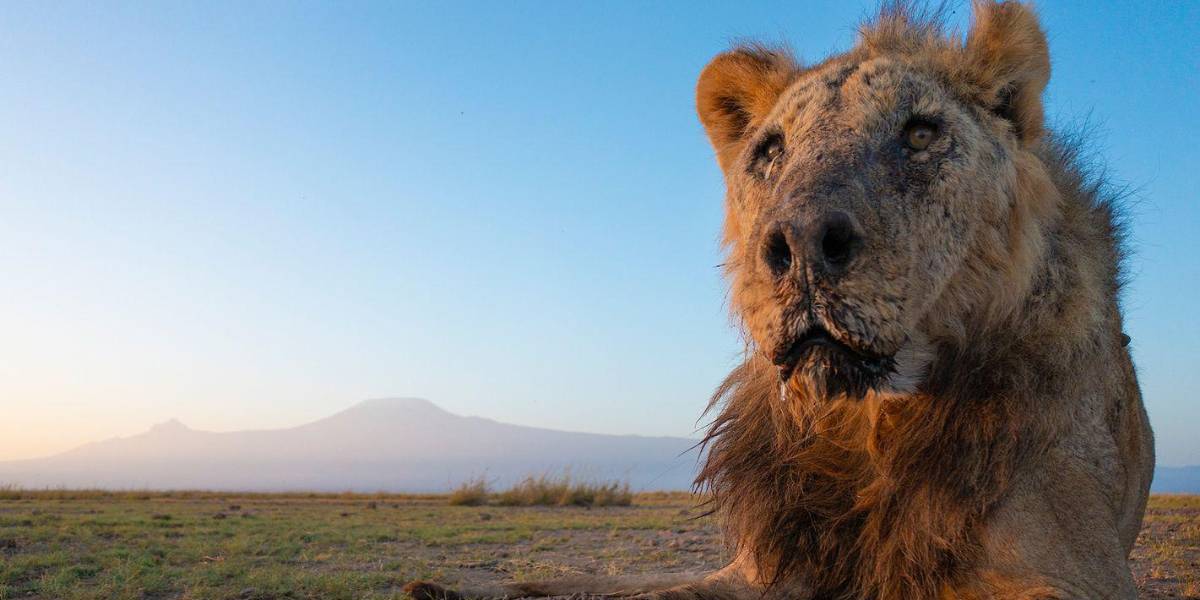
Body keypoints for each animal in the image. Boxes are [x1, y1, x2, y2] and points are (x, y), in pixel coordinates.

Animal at [406, 2, 1154, 598]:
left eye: (920, 134)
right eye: (770, 151)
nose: (798, 243)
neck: (863, 424)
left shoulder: (1070, 573)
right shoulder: (762, 566)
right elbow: (647, 589)